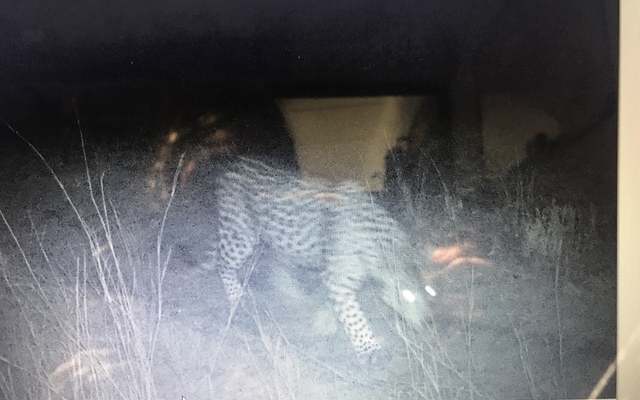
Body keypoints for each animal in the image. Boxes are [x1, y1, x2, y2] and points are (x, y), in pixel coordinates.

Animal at [202, 156, 434, 356]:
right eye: (410, 297)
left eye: (430, 292)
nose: (429, 322)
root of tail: (232, 163)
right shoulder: (338, 280)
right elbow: (355, 317)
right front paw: (369, 348)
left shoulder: (337, 278)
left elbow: (334, 304)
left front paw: (325, 322)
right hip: (241, 235)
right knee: (224, 264)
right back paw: (237, 296)